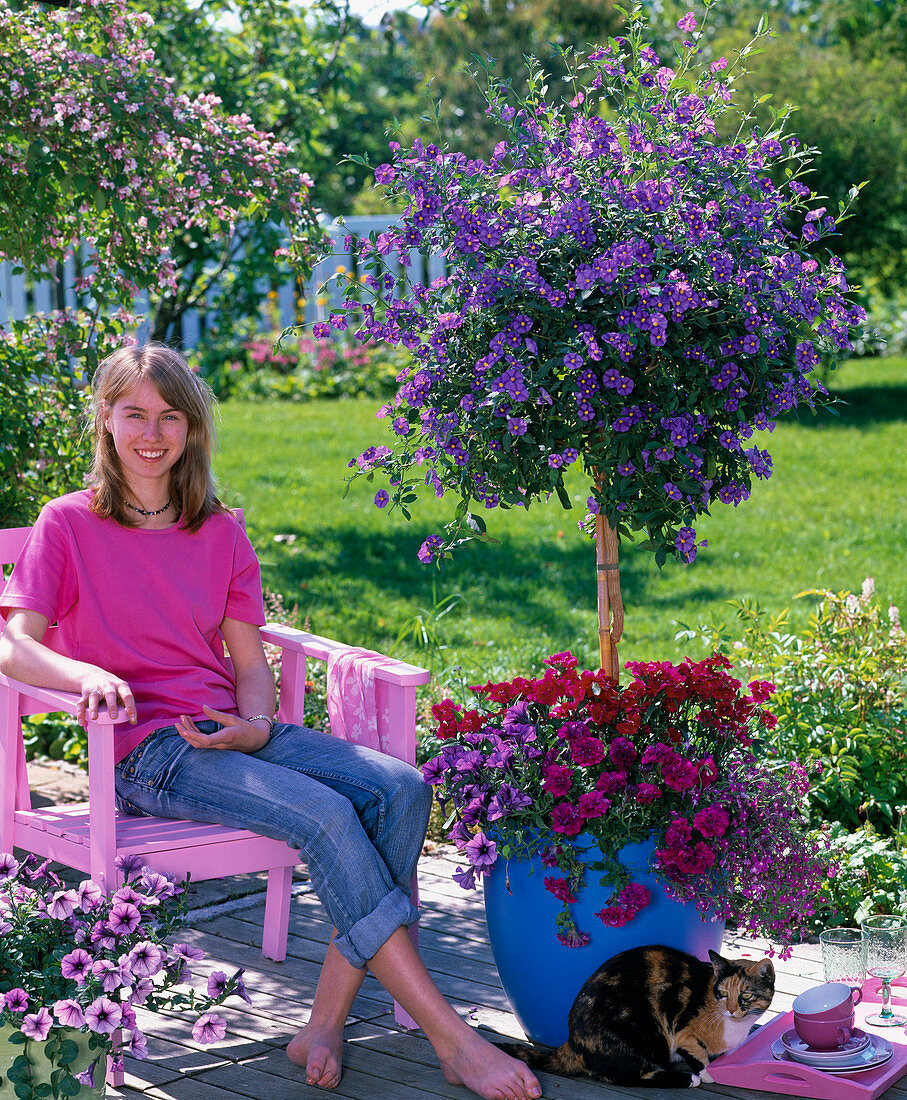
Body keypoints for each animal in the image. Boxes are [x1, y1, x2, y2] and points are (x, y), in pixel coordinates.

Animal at [499, 941, 773, 1086]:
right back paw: (687, 1079)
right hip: (645, 1036)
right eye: (723, 993)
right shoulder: (681, 1032)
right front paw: (706, 1074)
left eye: (746, 996)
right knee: (630, 1075)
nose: (731, 1009)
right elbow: (698, 1056)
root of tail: (573, 1043)